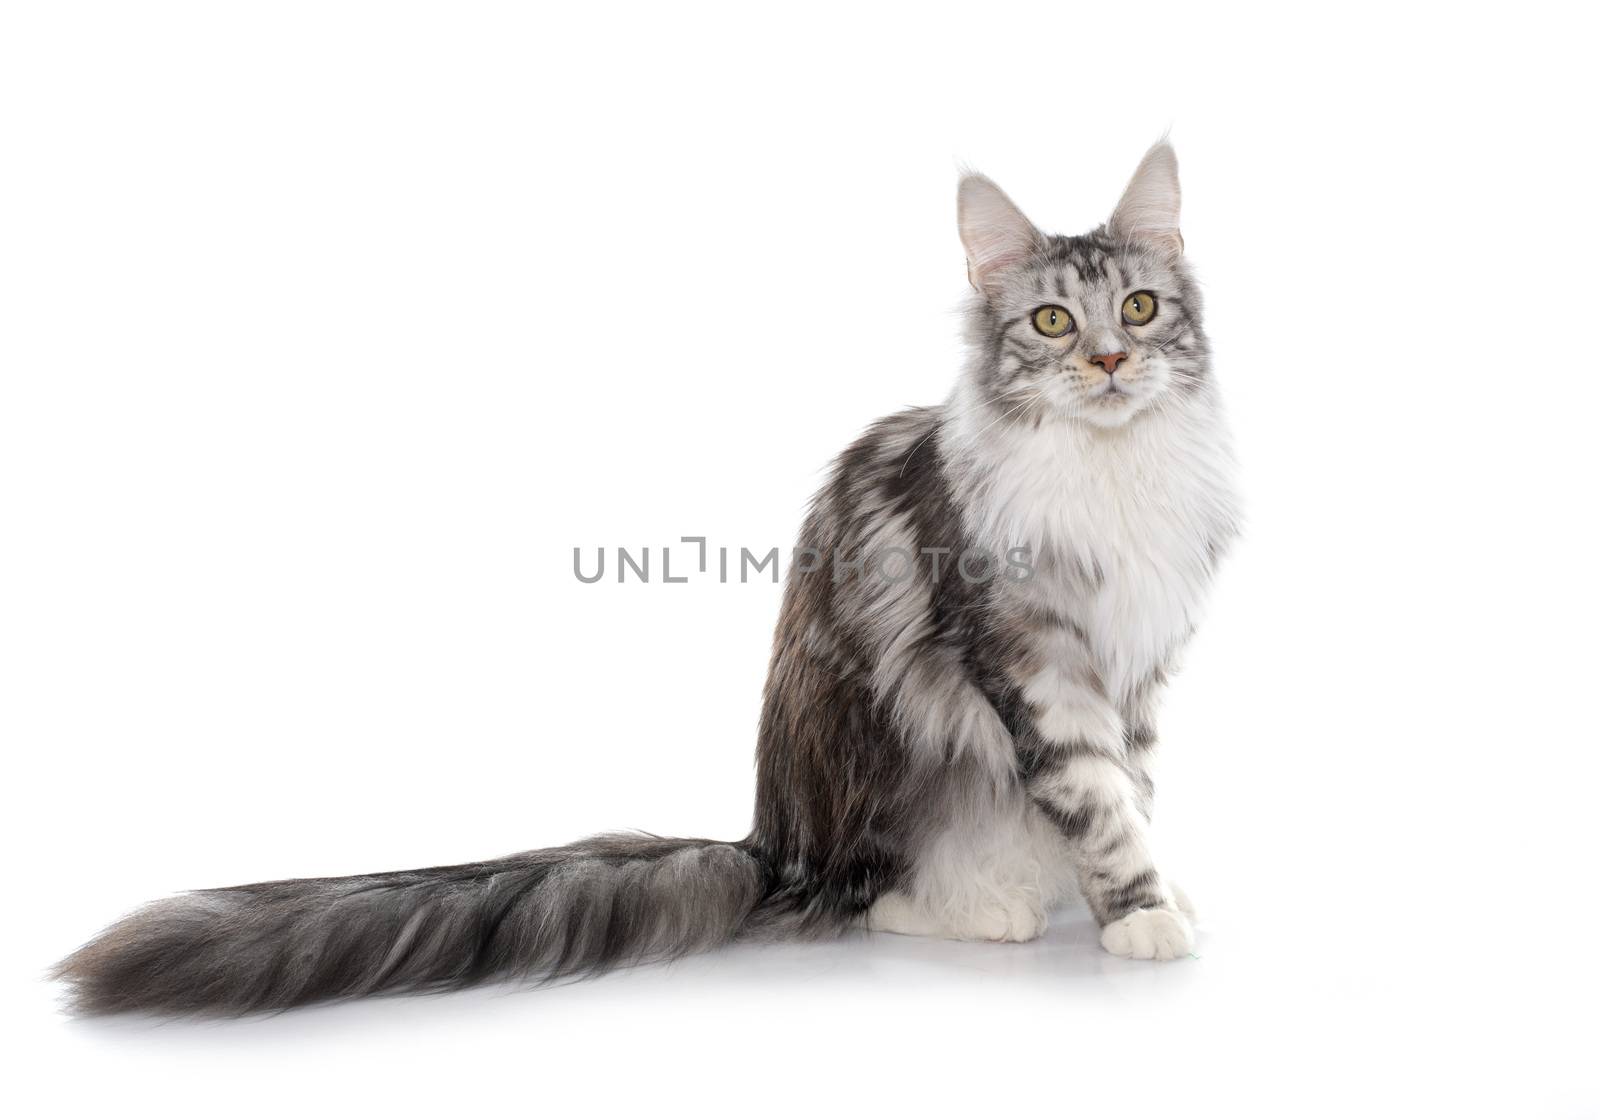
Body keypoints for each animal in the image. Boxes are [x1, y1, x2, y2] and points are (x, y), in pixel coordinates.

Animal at [56, 140, 1235, 1017]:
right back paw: (986, 904)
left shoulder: (1138, 667)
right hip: (887, 766)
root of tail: (769, 844)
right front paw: (1139, 913)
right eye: (1051, 321)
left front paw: (1145, 892)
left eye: (1137, 309)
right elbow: (1094, 798)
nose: (1109, 363)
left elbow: (1127, 786)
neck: (1110, 463)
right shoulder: (1033, 658)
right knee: (867, 897)